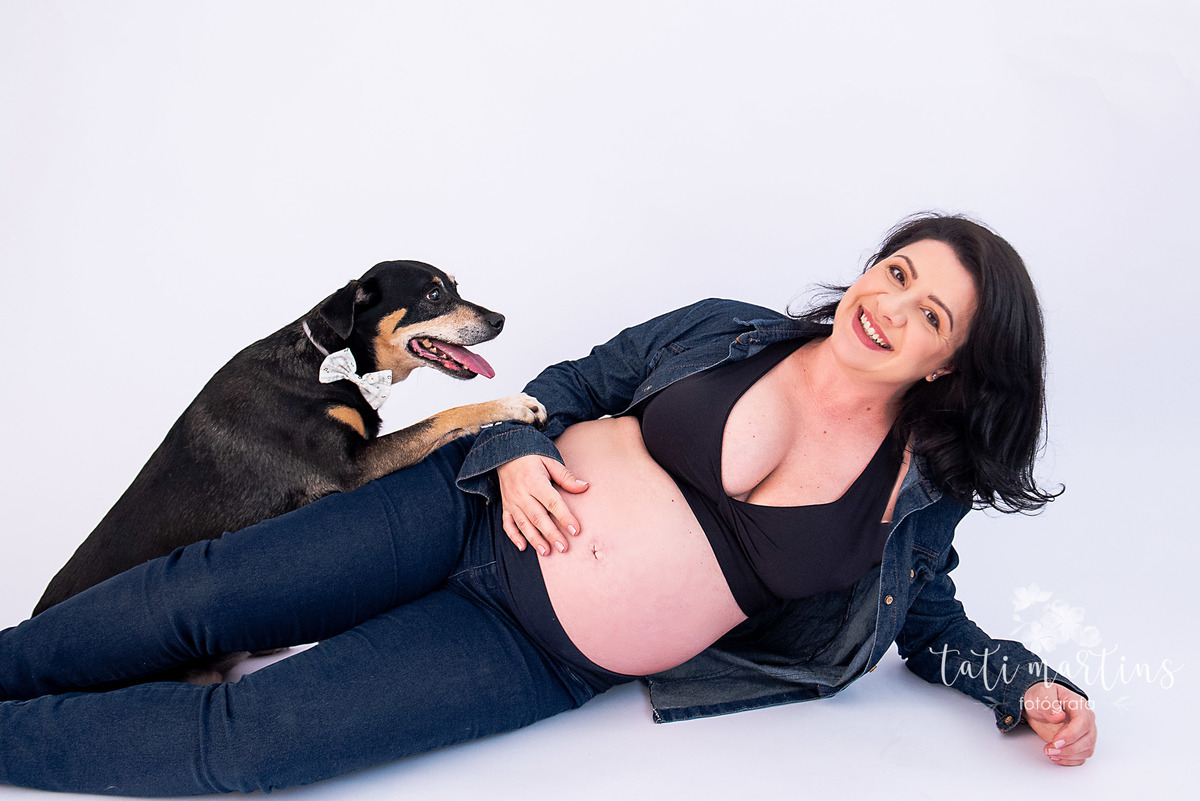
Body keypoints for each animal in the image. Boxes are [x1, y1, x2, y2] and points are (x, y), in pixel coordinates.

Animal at [34, 260, 545, 619]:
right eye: (434, 294)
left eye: (456, 287)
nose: (499, 319)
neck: (331, 362)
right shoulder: (353, 468)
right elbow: (446, 416)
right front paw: (512, 405)